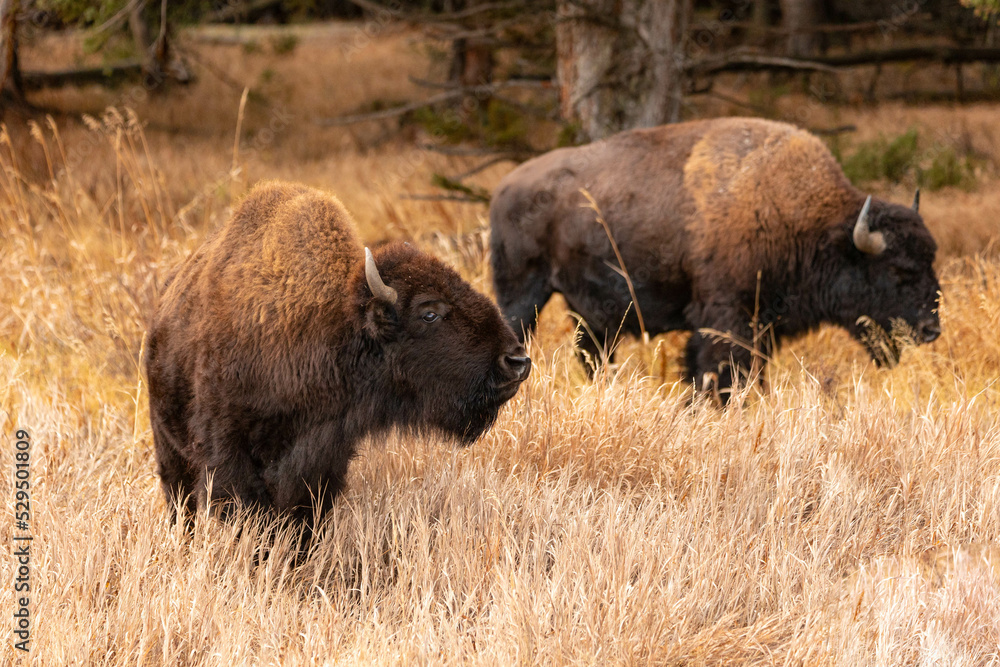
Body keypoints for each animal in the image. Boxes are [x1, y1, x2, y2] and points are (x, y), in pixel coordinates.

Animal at [488, 118, 940, 402]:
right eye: (897, 270)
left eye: (930, 260)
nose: (931, 329)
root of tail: (505, 187)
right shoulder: (726, 319)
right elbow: (719, 373)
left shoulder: (761, 326)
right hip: (523, 294)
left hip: (590, 314)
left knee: (593, 355)